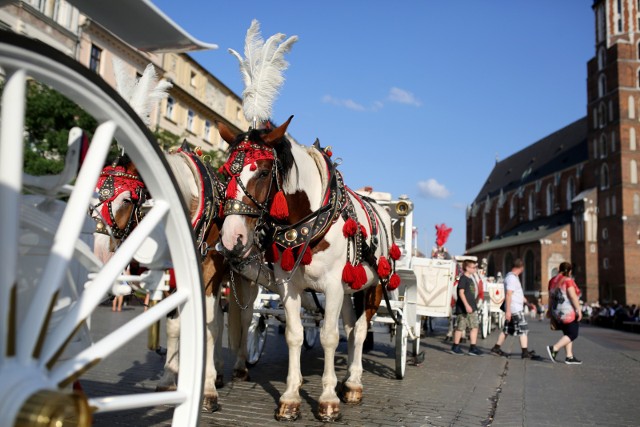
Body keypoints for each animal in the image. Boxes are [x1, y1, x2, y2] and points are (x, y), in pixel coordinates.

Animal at [90, 147, 260, 412]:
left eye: (127, 200)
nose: (99, 257)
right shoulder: (175, 278)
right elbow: (174, 326)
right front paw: (169, 378)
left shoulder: (209, 275)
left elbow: (209, 327)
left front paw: (207, 390)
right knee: (220, 320)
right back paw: (219, 371)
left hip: (246, 279)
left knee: (244, 318)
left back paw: (240, 367)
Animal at [218, 117, 402, 422]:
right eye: (225, 173)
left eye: (264, 172)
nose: (232, 238)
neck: (310, 220)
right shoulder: (288, 286)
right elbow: (294, 335)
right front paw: (291, 397)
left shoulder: (333, 286)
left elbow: (328, 337)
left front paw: (327, 401)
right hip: (348, 291)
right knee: (350, 327)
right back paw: (346, 379)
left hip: (374, 286)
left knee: (360, 330)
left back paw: (353, 383)